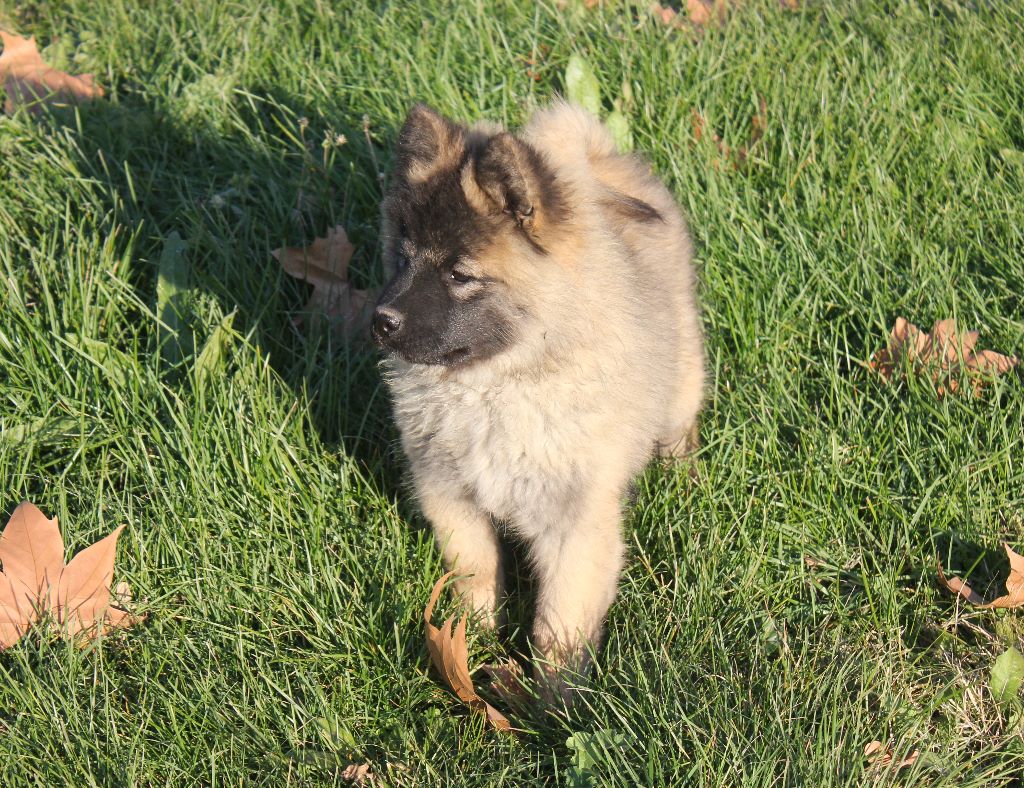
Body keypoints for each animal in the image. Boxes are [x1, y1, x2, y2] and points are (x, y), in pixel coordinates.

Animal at [374, 101, 704, 691]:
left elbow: (559, 627)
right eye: (404, 257)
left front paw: (553, 701)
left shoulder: (574, 526)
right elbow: (477, 576)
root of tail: (601, 162)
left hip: (681, 383)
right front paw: (472, 641)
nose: (380, 320)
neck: (495, 386)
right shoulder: (451, 498)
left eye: (459, 274)